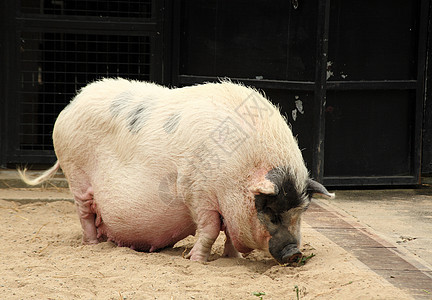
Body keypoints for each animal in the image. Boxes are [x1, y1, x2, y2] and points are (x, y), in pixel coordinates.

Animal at [18, 78, 332, 264]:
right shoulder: (196, 190)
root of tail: (69, 106)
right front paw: (196, 261)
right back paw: (92, 245)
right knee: (84, 213)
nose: (295, 252)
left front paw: (232, 260)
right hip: (76, 173)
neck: (237, 172)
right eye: (272, 212)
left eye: (301, 212)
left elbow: (229, 232)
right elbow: (210, 228)